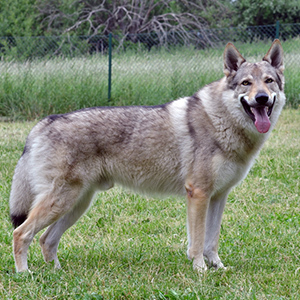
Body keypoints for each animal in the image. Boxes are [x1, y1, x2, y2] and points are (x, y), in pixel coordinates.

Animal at [9, 39, 284, 272]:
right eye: (246, 83)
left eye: (269, 81)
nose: (261, 98)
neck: (221, 121)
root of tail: (43, 123)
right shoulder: (198, 194)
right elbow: (196, 242)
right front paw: (200, 270)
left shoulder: (218, 196)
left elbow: (211, 241)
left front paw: (218, 268)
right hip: (62, 201)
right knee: (21, 233)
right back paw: (25, 274)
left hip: (77, 204)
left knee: (46, 240)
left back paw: (57, 273)